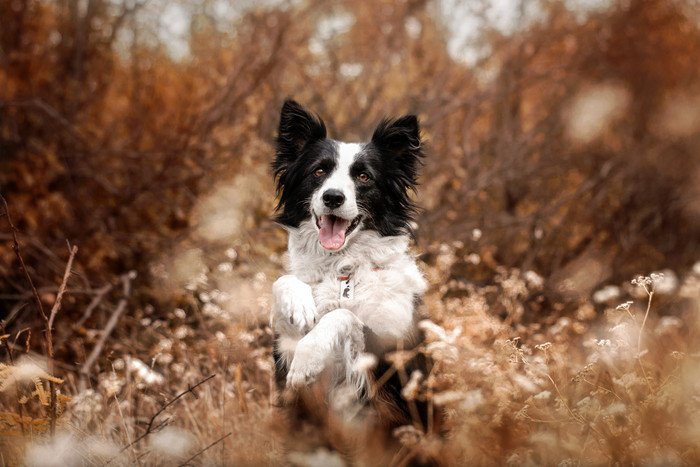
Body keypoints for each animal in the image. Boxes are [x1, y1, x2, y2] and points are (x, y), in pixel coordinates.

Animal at [272, 98, 426, 424]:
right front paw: (300, 305)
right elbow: (283, 281)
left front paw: (308, 357)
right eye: (319, 171)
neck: (342, 269)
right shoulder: (284, 346)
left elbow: (344, 315)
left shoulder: (393, 353)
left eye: (364, 176)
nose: (332, 197)